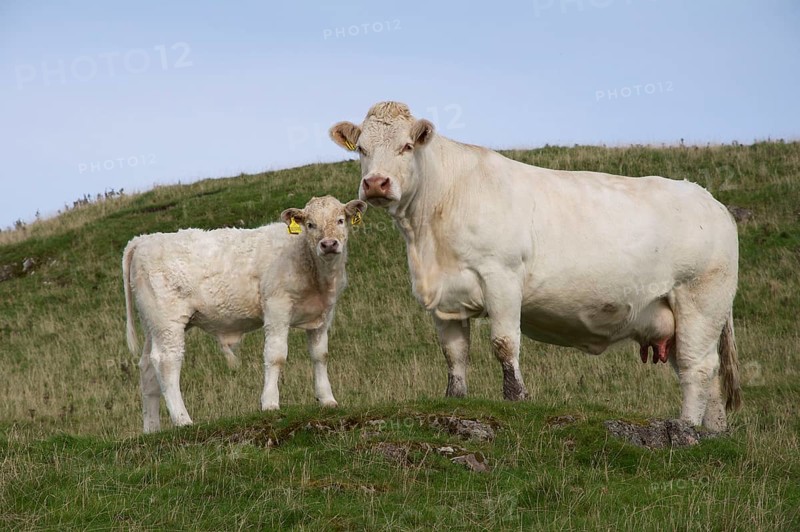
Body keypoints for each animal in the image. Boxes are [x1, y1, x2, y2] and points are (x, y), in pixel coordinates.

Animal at [123, 196, 367, 432]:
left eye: (340, 220)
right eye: (310, 224)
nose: (328, 244)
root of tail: (142, 240)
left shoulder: (324, 314)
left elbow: (320, 355)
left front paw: (327, 400)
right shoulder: (277, 306)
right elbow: (276, 355)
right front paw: (270, 403)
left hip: (153, 324)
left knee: (147, 367)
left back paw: (152, 429)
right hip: (168, 321)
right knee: (166, 362)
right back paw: (183, 420)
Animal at [329, 101, 741, 432]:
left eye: (407, 146)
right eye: (362, 149)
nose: (376, 183)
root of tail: (709, 200)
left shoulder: (501, 276)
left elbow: (504, 343)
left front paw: (517, 398)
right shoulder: (444, 297)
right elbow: (454, 352)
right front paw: (455, 400)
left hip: (700, 300)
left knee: (697, 368)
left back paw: (687, 427)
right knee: (707, 374)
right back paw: (714, 433)